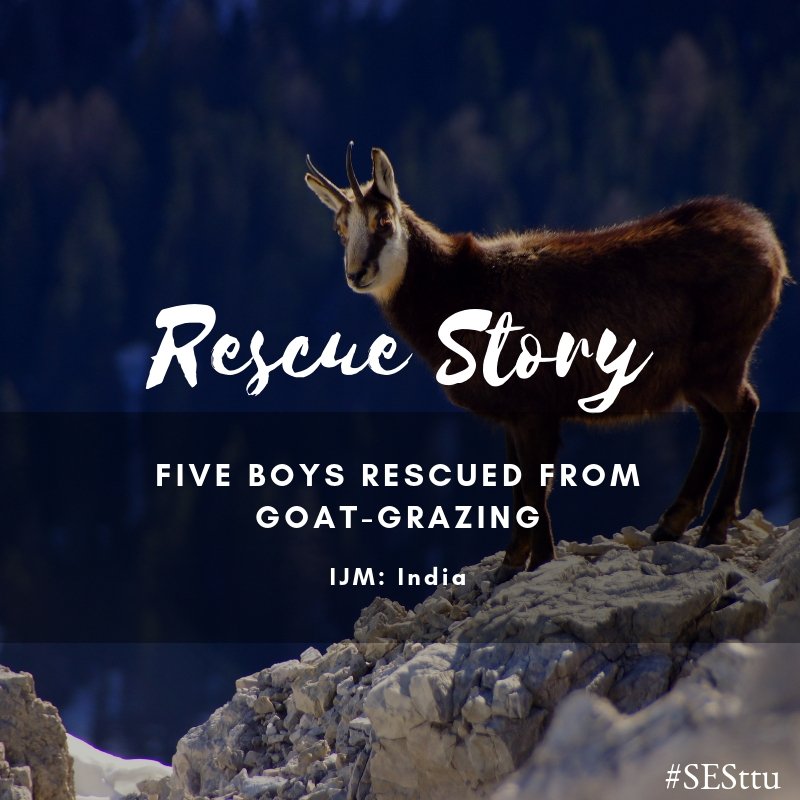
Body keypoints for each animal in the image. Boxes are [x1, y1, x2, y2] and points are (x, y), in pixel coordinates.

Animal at [305, 142, 788, 581]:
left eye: (382, 220)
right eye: (339, 227)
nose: (356, 274)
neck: (461, 288)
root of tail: (769, 242)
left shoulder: (535, 407)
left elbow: (536, 485)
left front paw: (537, 560)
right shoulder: (514, 413)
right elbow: (519, 482)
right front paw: (513, 561)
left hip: (723, 355)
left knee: (743, 409)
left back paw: (716, 525)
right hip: (693, 373)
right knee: (714, 421)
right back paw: (674, 522)